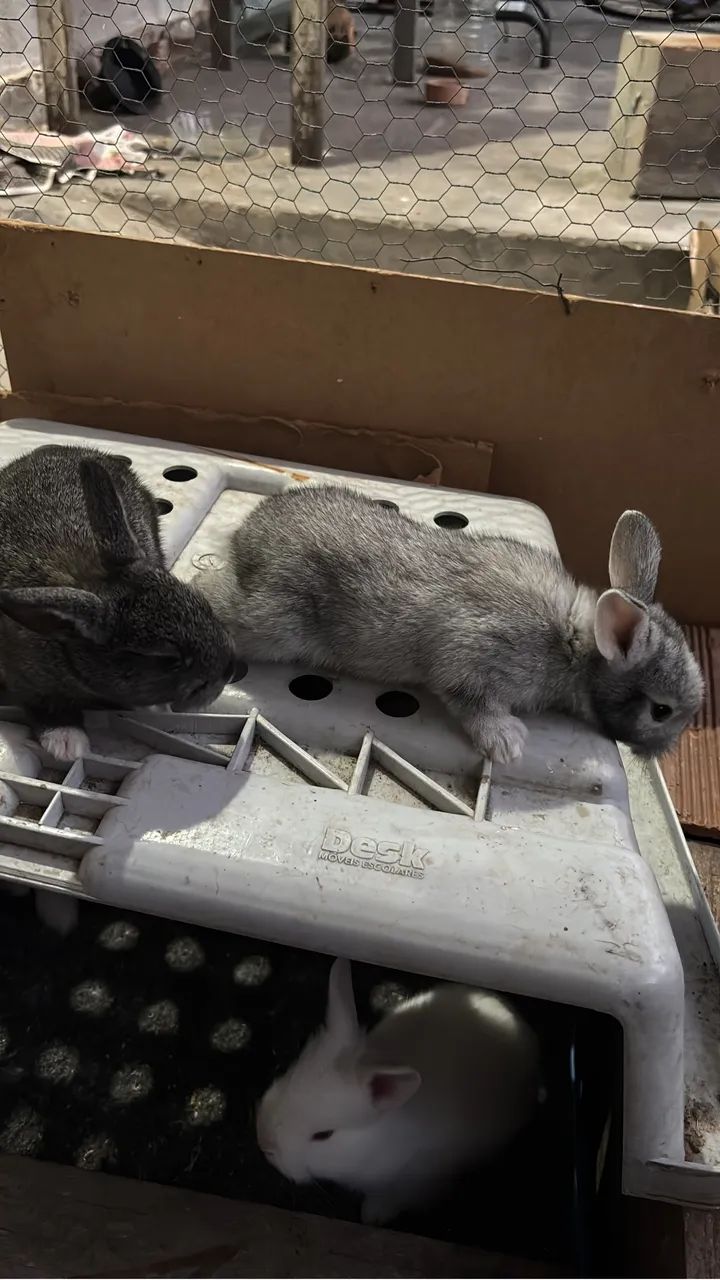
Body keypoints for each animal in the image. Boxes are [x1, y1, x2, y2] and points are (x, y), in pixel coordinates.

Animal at [0, 444, 235, 764]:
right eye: (166, 659)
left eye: (201, 605)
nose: (234, 669)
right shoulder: (30, 682)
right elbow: (49, 708)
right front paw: (67, 745)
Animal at [198, 485, 703, 763]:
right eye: (662, 711)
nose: (667, 749)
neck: (576, 643)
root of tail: (246, 537)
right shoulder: (475, 658)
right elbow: (471, 701)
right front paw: (508, 743)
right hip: (272, 622)